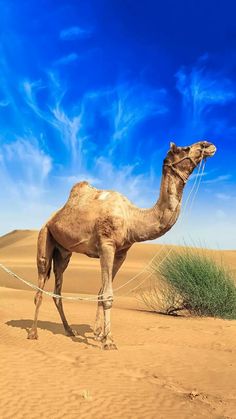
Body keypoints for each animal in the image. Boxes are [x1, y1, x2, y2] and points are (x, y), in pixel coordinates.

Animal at [27, 139, 216, 350]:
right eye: (184, 149)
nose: (208, 145)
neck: (131, 219)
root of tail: (52, 218)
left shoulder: (121, 253)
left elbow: (101, 292)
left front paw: (98, 334)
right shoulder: (106, 245)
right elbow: (108, 295)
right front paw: (109, 341)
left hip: (63, 252)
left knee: (57, 290)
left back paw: (69, 330)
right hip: (45, 236)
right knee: (40, 283)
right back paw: (33, 333)